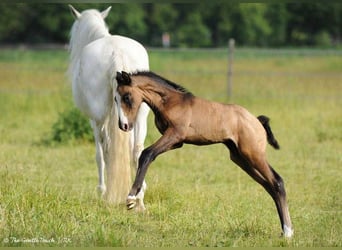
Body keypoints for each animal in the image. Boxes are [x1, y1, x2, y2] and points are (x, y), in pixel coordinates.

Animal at [69, 4, 149, 210]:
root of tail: (117, 52)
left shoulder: (93, 120)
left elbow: (100, 154)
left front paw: (102, 191)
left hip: (99, 118)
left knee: (104, 150)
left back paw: (107, 192)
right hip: (140, 116)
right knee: (137, 150)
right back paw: (139, 200)